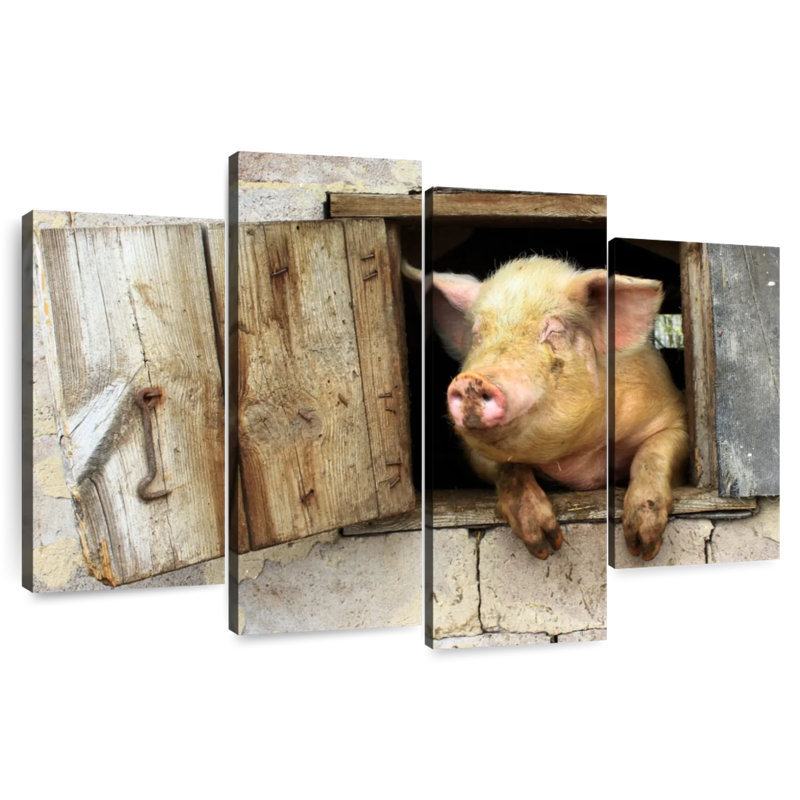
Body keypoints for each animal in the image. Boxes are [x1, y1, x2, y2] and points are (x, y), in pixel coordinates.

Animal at [416, 256, 688, 561]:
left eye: (553, 330)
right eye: (477, 334)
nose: (470, 381)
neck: (580, 464)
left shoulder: (671, 414)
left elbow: (652, 454)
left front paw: (642, 547)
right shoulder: (472, 453)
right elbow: (508, 467)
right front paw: (546, 546)